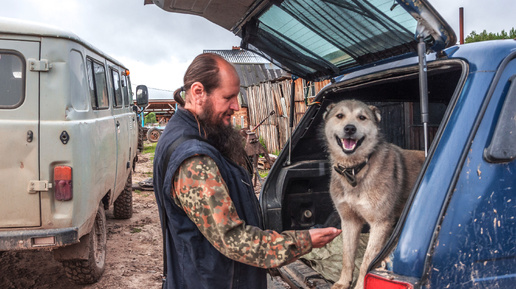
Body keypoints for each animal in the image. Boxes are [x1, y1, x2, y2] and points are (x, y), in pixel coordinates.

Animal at [324, 99, 426, 288]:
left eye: (362, 118)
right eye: (339, 116)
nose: (350, 128)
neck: (355, 170)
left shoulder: (380, 223)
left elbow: (366, 261)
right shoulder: (349, 221)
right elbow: (347, 257)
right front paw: (343, 282)